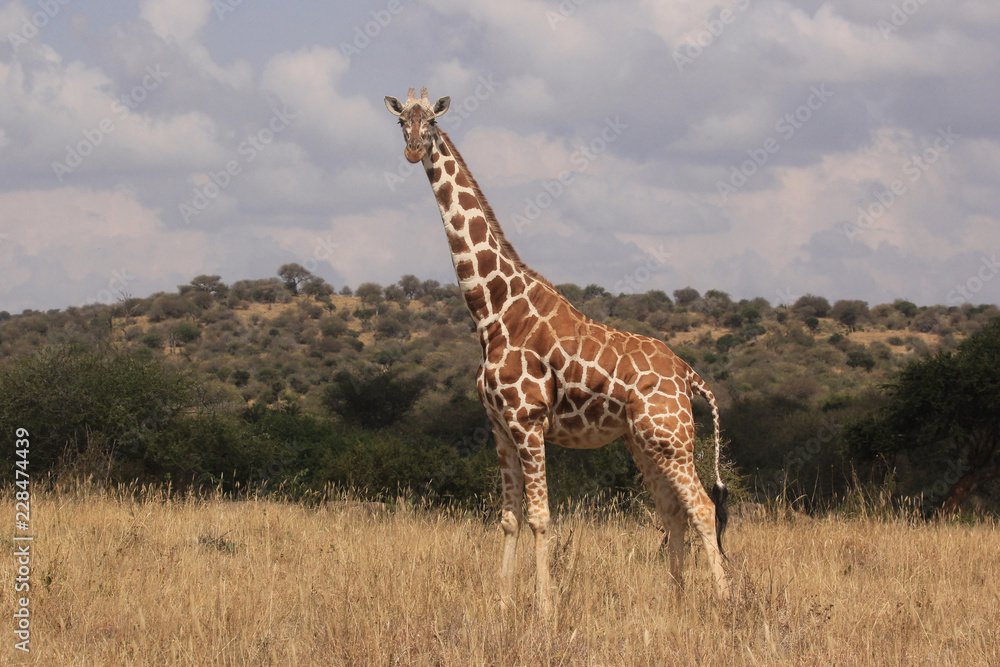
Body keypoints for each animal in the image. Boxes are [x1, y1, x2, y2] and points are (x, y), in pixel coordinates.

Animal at [385, 88, 731, 616]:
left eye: (433, 121)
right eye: (401, 121)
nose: (411, 149)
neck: (492, 312)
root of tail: (690, 375)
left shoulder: (528, 422)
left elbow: (541, 517)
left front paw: (544, 608)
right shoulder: (499, 427)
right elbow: (509, 517)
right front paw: (503, 603)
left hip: (672, 437)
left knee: (704, 507)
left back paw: (728, 602)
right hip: (642, 441)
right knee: (672, 511)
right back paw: (675, 601)